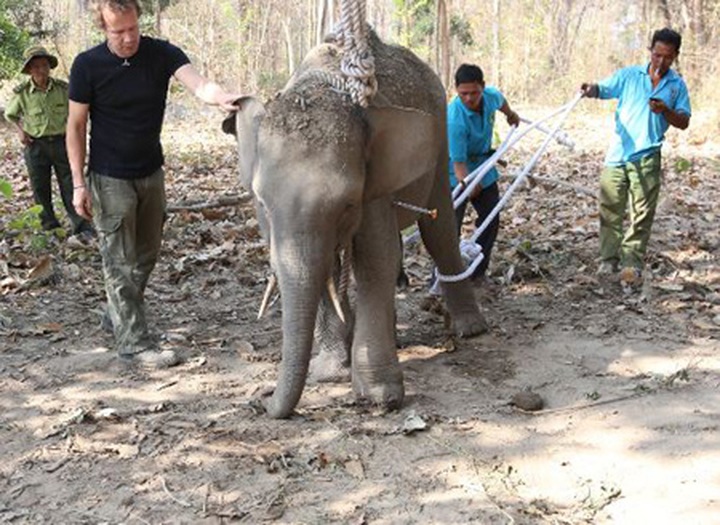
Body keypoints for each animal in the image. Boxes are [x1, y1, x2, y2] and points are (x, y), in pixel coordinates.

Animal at [223, 30, 488, 419]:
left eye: (347, 204)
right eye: (262, 204)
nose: (262, 399)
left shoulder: (372, 182)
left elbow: (376, 259)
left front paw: (380, 396)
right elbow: (327, 269)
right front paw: (331, 372)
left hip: (440, 142)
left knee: (438, 230)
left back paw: (471, 329)